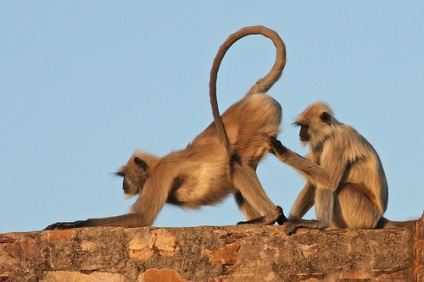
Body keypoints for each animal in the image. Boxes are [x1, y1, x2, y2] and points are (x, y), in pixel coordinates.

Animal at [45, 25, 288, 230]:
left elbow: (140, 218)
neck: (155, 165)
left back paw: (270, 216)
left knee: (237, 166)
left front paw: (71, 224)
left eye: (125, 176)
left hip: (254, 119)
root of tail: (246, 100)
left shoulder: (160, 175)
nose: (123, 185)